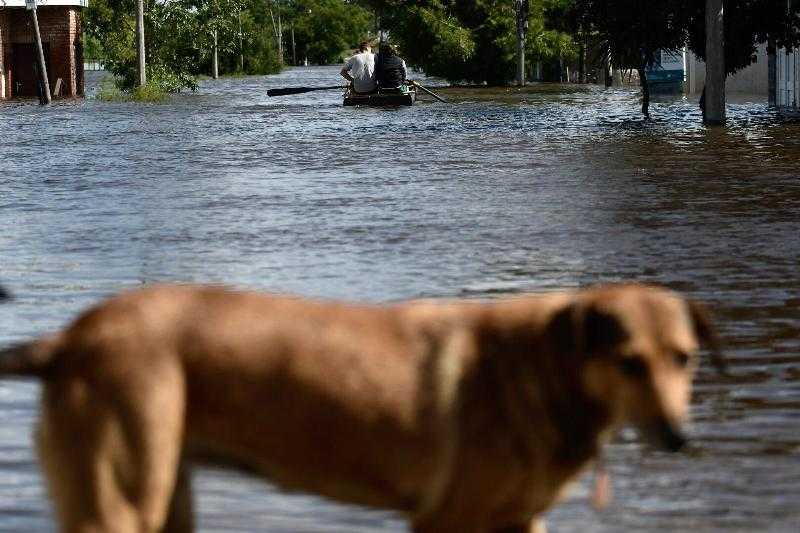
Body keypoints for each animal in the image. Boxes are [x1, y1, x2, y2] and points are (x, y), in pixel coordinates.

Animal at [0, 284, 720, 528]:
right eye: (630, 362)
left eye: (684, 358)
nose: (680, 436)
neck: (543, 368)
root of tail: (68, 340)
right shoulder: (448, 522)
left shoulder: (518, 522)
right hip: (118, 503)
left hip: (165, 495)